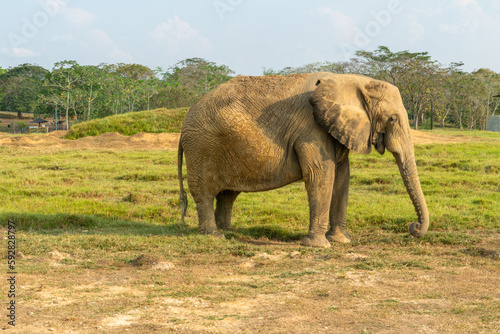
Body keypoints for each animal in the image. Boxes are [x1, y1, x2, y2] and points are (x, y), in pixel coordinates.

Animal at [177, 73, 430, 248]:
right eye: (392, 119)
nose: (414, 227)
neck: (354, 80)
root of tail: (183, 123)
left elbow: (342, 177)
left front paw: (341, 241)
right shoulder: (312, 130)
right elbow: (321, 174)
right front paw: (318, 245)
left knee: (228, 194)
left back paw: (229, 231)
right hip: (201, 148)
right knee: (205, 194)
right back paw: (214, 235)